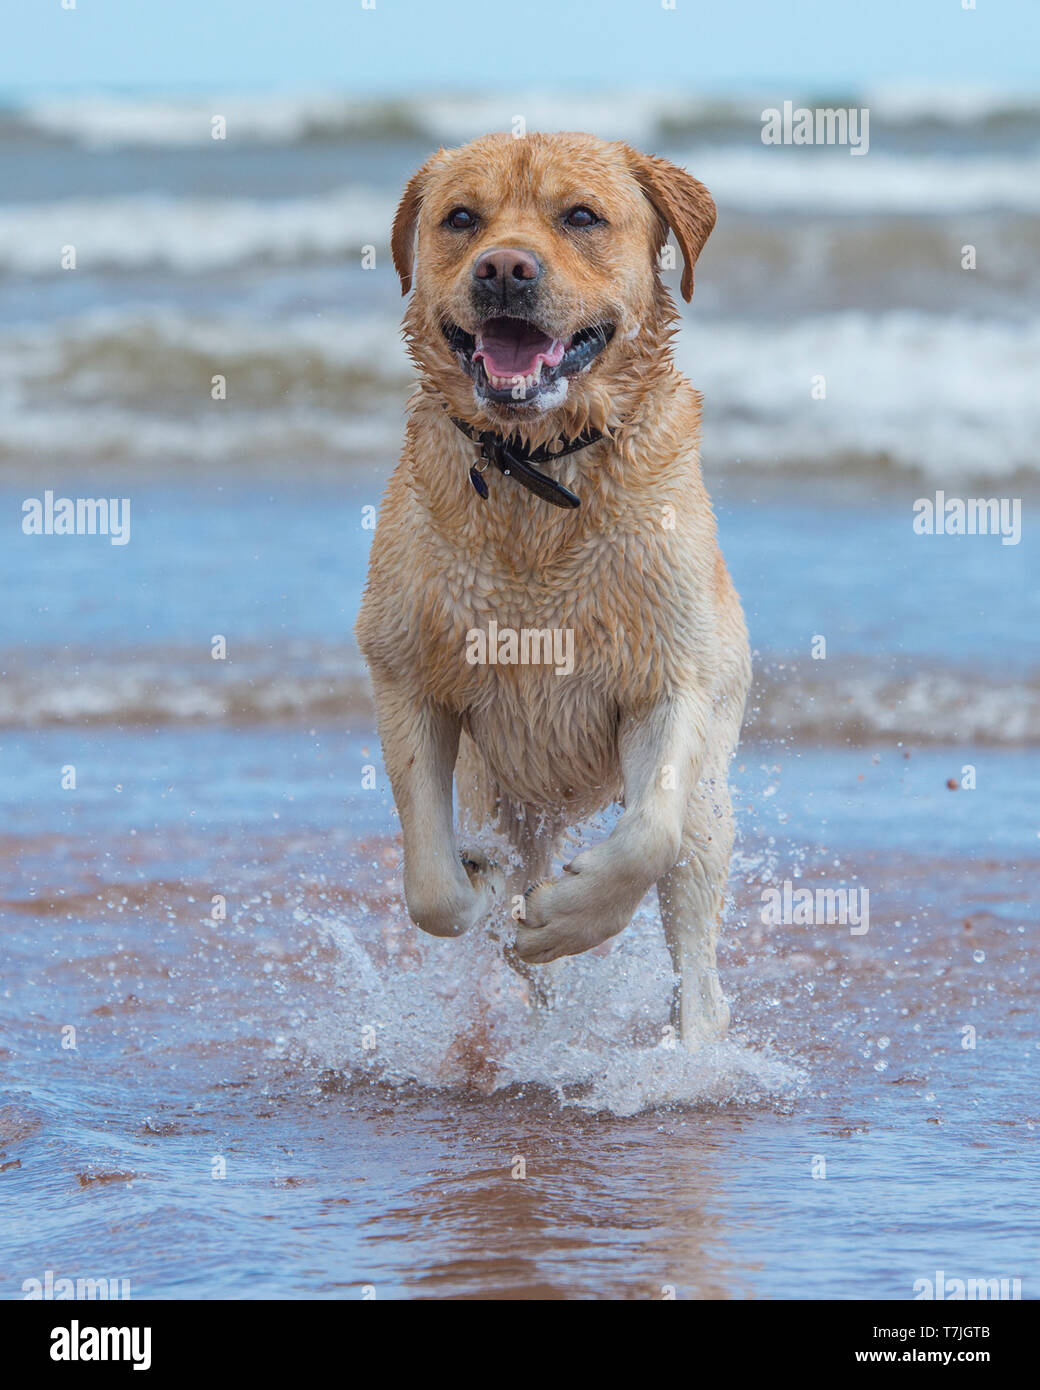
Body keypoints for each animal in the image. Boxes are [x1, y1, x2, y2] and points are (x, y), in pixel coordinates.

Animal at [358, 132, 745, 1045]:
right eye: (462, 219)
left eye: (581, 216)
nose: (504, 267)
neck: (536, 469)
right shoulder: (406, 676)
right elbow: (432, 886)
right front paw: (485, 886)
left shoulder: (671, 677)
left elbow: (646, 837)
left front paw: (570, 916)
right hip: (502, 786)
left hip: (712, 798)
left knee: (694, 927)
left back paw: (693, 1047)